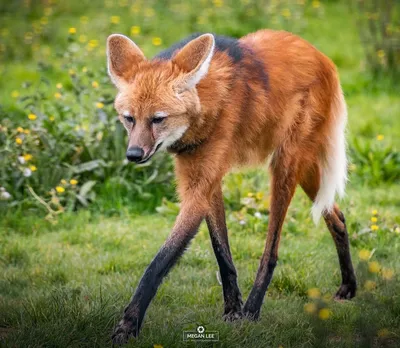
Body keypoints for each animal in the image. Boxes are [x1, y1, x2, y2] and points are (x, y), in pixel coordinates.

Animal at [105, 29, 356, 342]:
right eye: (129, 118)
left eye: (158, 119)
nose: (133, 154)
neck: (207, 108)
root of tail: (322, 57)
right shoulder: (208, 181)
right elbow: (221, 251)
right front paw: (232, 310)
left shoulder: (199, 189)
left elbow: (158, 263)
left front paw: (128, 325)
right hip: (308, 171)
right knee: (338, 217)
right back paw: (348, 287)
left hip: (285, 167)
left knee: (272, 250)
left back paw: (253, 310)